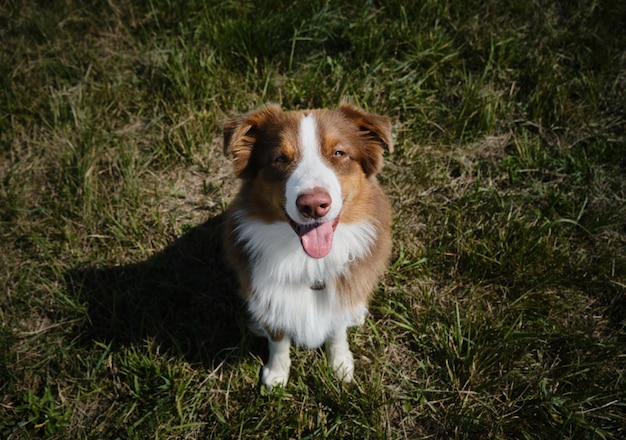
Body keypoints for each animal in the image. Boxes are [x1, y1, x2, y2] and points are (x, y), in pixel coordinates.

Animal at [223, 103, 390, 388]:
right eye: (279, 158)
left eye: (339, 153)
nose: (313, 205)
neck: (308, 262)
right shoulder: (271, 300)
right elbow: (278, 339)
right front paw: (277, 374)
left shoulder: (338, 299)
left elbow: (336, 331)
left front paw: (340, 364)